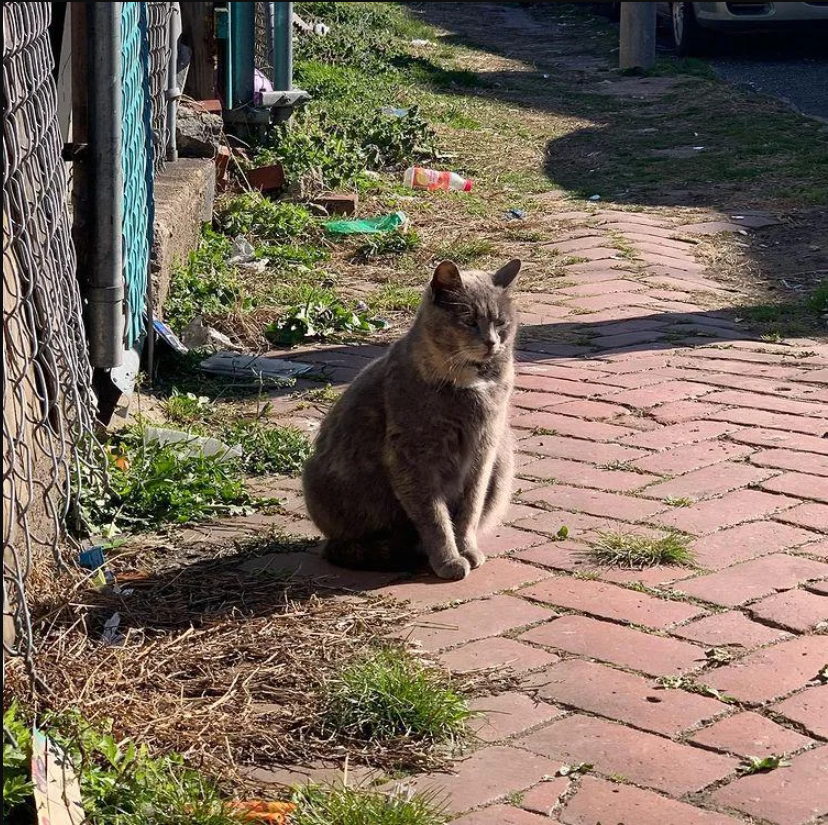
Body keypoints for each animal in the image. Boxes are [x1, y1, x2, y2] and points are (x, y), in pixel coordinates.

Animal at [304, 258, 520, 580]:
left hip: (503, 461)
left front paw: (466, 550)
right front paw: (449, 561)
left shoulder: (484, 452)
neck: (471, 386)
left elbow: (470, 509)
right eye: (469, 320)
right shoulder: (413, 458)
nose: (492, 342)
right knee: (343, 547)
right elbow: (434, 516)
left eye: (501, 322)